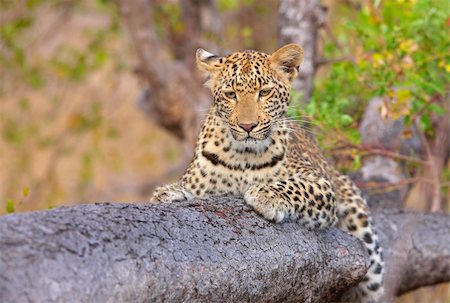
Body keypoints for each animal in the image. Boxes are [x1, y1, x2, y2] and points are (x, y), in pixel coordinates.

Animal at [150, 44, 384, 302]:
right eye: (231, 94)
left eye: (264, 92)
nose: (247, 126)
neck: (243, 156)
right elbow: (190, 188)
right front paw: (169, 192)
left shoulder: (321, 183)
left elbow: (294, 186)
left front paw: (265, 195)